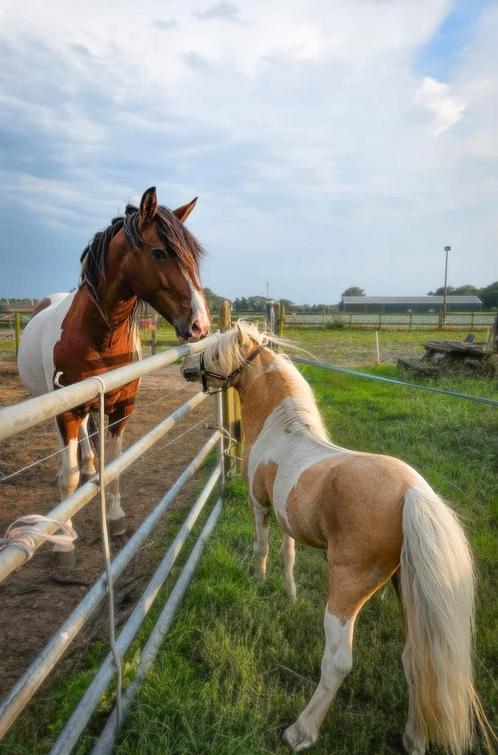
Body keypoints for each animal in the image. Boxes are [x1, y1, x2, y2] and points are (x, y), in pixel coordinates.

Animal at [18, 188, 210, 568]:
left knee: (89, 439)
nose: (201, 324)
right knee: (69, 451)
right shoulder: (66, 410)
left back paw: (91, 466)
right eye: (159, 252)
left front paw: (116, 518)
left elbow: (116, 463)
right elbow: (69, 479)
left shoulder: (122, 406)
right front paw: (64, 544)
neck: (98, 337)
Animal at [182, 320, 490, 755]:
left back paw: (301, 731)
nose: (186, 368)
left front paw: (257, 583)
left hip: (346, 591)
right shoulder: (288, 519)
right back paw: (413, 738)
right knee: (416, 659)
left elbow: (262, 548)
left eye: (213, 351)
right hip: (407, 590)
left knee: (338, 662)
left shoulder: (259, 506)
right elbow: (288, 555)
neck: (282, 430)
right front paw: (289, 594)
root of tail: (412, 492)